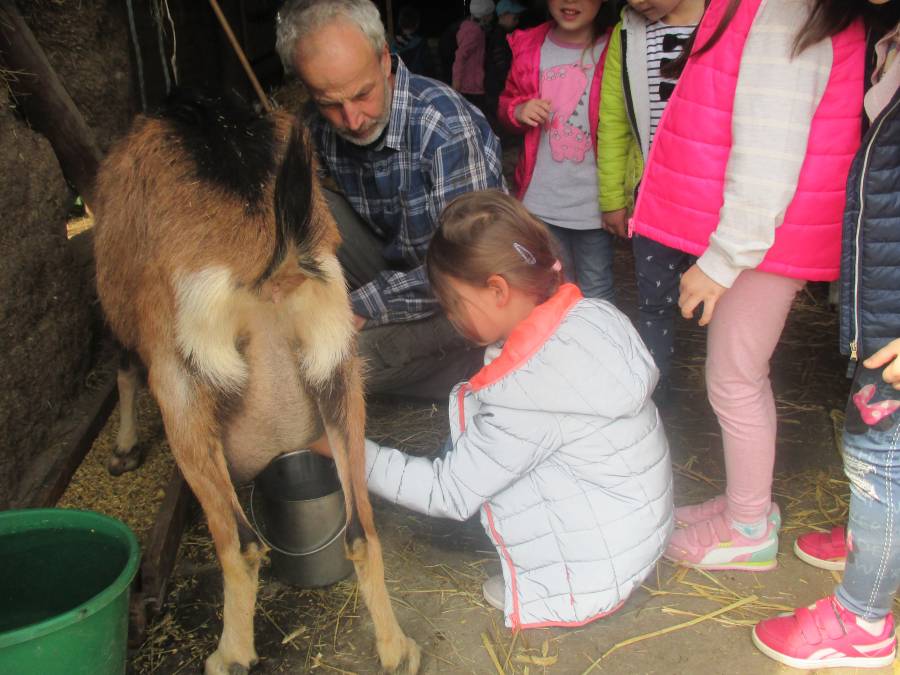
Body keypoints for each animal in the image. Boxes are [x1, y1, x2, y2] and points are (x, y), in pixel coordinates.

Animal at [93, 91, 420, 675]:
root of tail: (277, 258)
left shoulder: (124, 318)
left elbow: (124, 369)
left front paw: (123, 451)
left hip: (181, 387)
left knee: (241, 547)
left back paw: (229, 655)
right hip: (342, 374)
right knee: (362, 532)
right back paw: (398, 650)